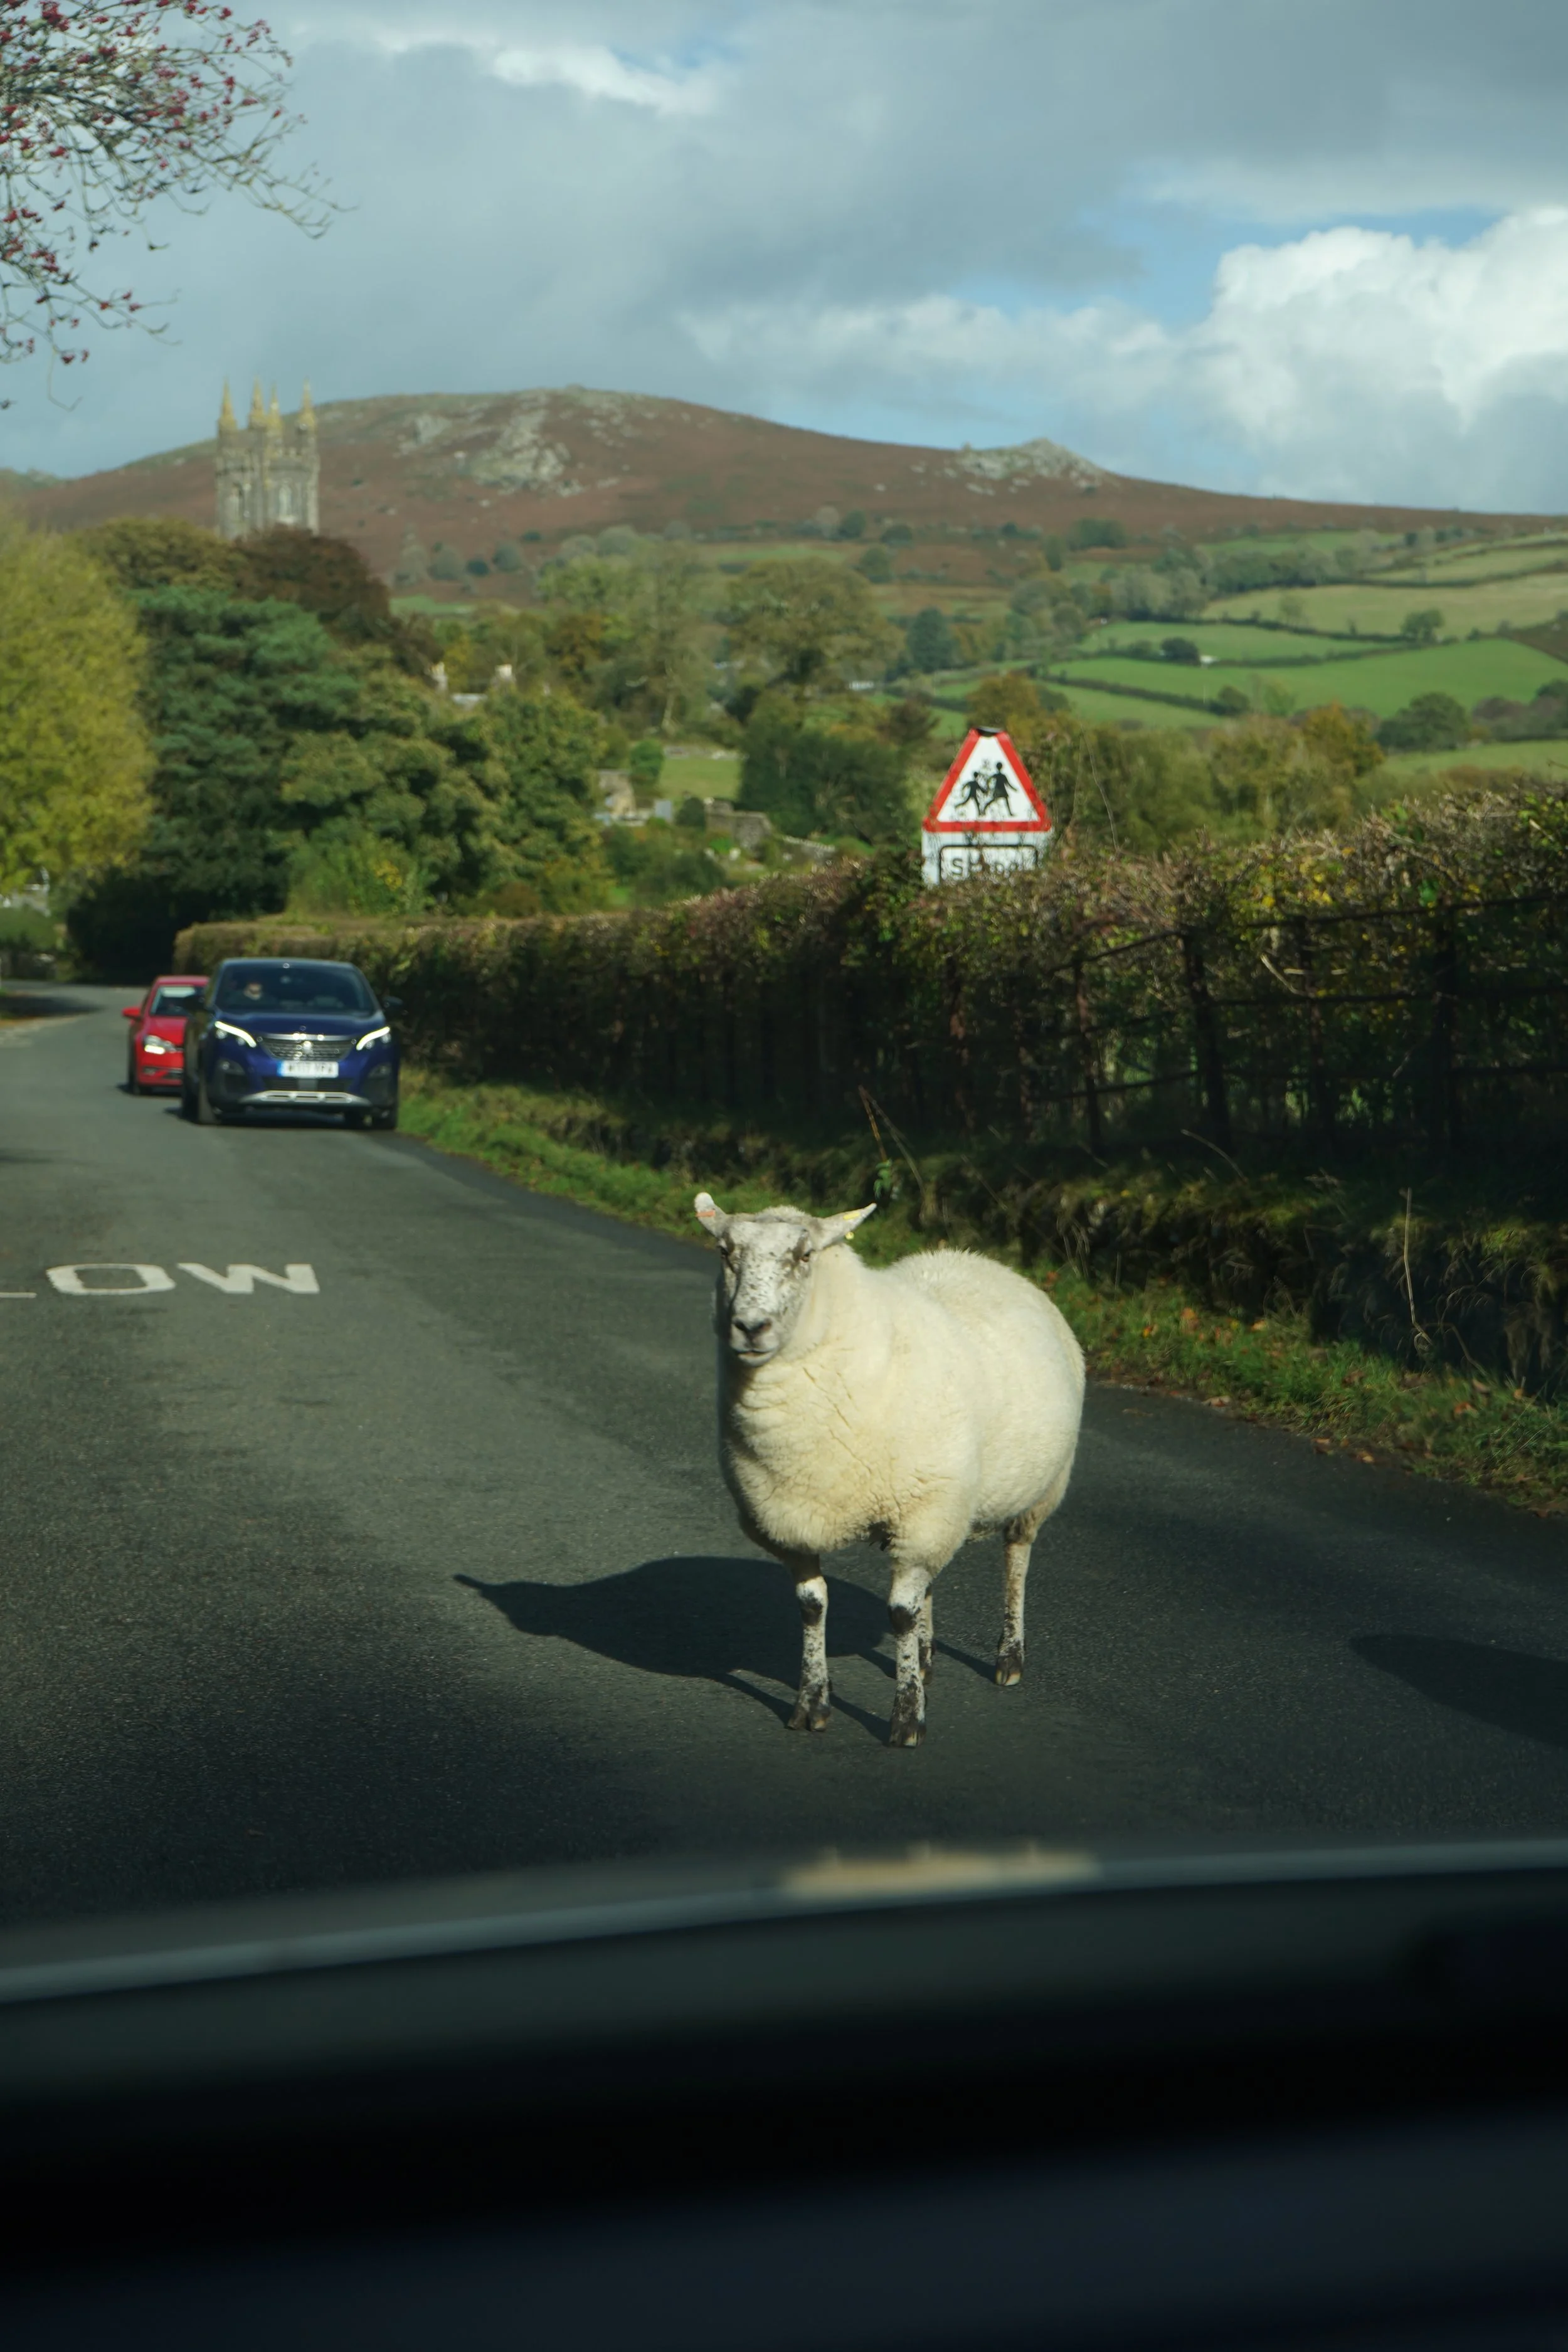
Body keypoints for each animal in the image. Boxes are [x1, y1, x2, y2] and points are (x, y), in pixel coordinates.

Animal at [694, 1192, 1085, 1747]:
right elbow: (813, 1605)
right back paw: (924, 1659)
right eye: (725, 1252)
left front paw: (907, 1718)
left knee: (1015, 1560)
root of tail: (975, 1258)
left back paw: (1009, 1657)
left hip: (1036, 1492)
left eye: (805, 1255)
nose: (750, 1327)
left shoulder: (923, 1513)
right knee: (928, 1585)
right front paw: (812, 1704)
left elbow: (899, 1614)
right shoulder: (794, 1520)